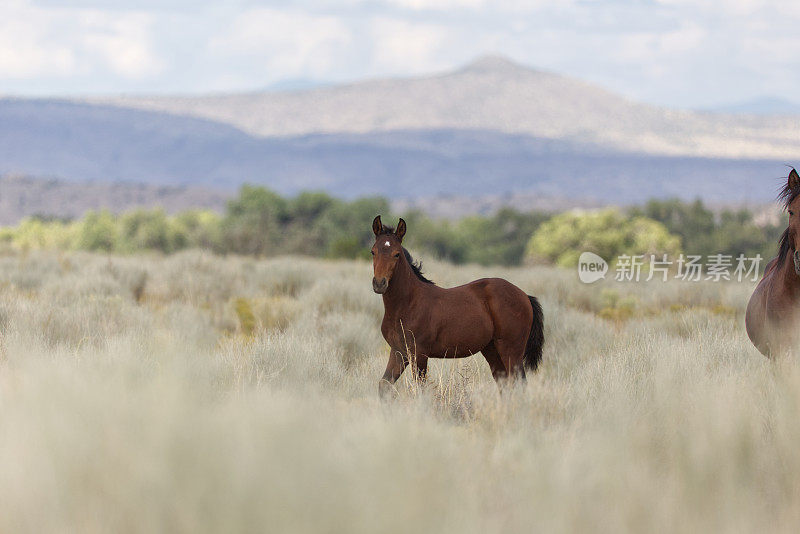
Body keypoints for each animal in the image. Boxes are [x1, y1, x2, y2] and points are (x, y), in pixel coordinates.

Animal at [368, 215, 544, 398]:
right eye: (373, 251)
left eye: (396, 254)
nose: (379, 284)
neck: (407, 304)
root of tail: (524, 295)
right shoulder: (398, 352)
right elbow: (384, 384)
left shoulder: (420, 354)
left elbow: (421, 389)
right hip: (492, 350)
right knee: (504, 384)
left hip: (512, 350)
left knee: (519, 383)